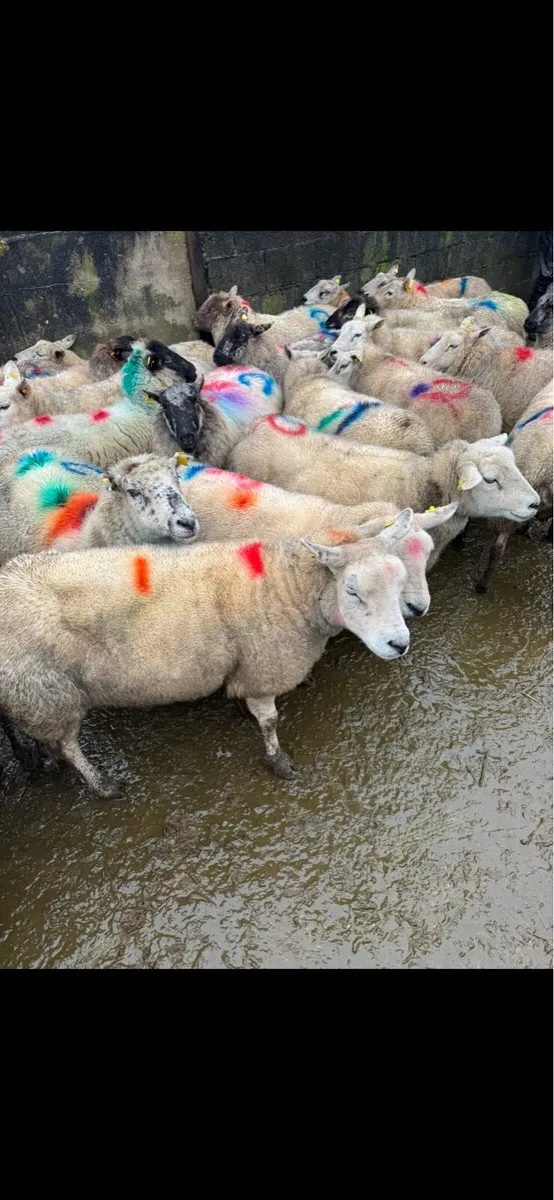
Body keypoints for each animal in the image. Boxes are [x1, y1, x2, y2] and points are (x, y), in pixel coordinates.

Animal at [0, 509, 416, 793]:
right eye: (353, 591)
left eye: (400, 583)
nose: (400, 644)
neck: (286, 586)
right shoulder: (265, 665)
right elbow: (270, 722)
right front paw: (278, 761)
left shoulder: (249, 666)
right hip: (47, 693)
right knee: (69, 743)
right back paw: (101, 784)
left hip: (29, 694)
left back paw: (39, 759)